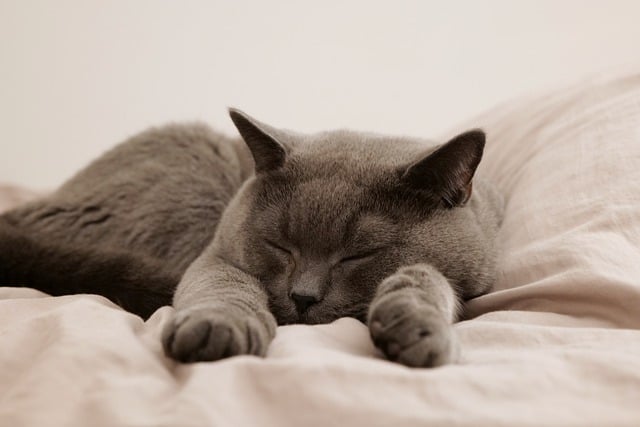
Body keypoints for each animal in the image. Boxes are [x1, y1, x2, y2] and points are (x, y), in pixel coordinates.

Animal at [0, 109, 502, 368]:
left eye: (358, 255)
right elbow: (227, 285)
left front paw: (415, 325)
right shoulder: (215, 256)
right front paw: (219, 330)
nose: (302, 297)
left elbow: (429, 275)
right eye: (280, 245)